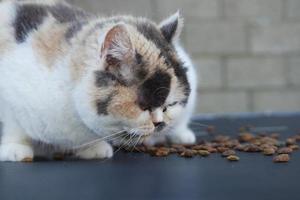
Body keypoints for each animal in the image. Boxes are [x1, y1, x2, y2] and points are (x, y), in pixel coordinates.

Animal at [0, 0, 197, 161]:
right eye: (143, 107)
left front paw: (92, 148)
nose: (160, 124)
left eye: (169, 106)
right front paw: (15, 147)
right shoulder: (9, 99)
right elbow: (13, 124)